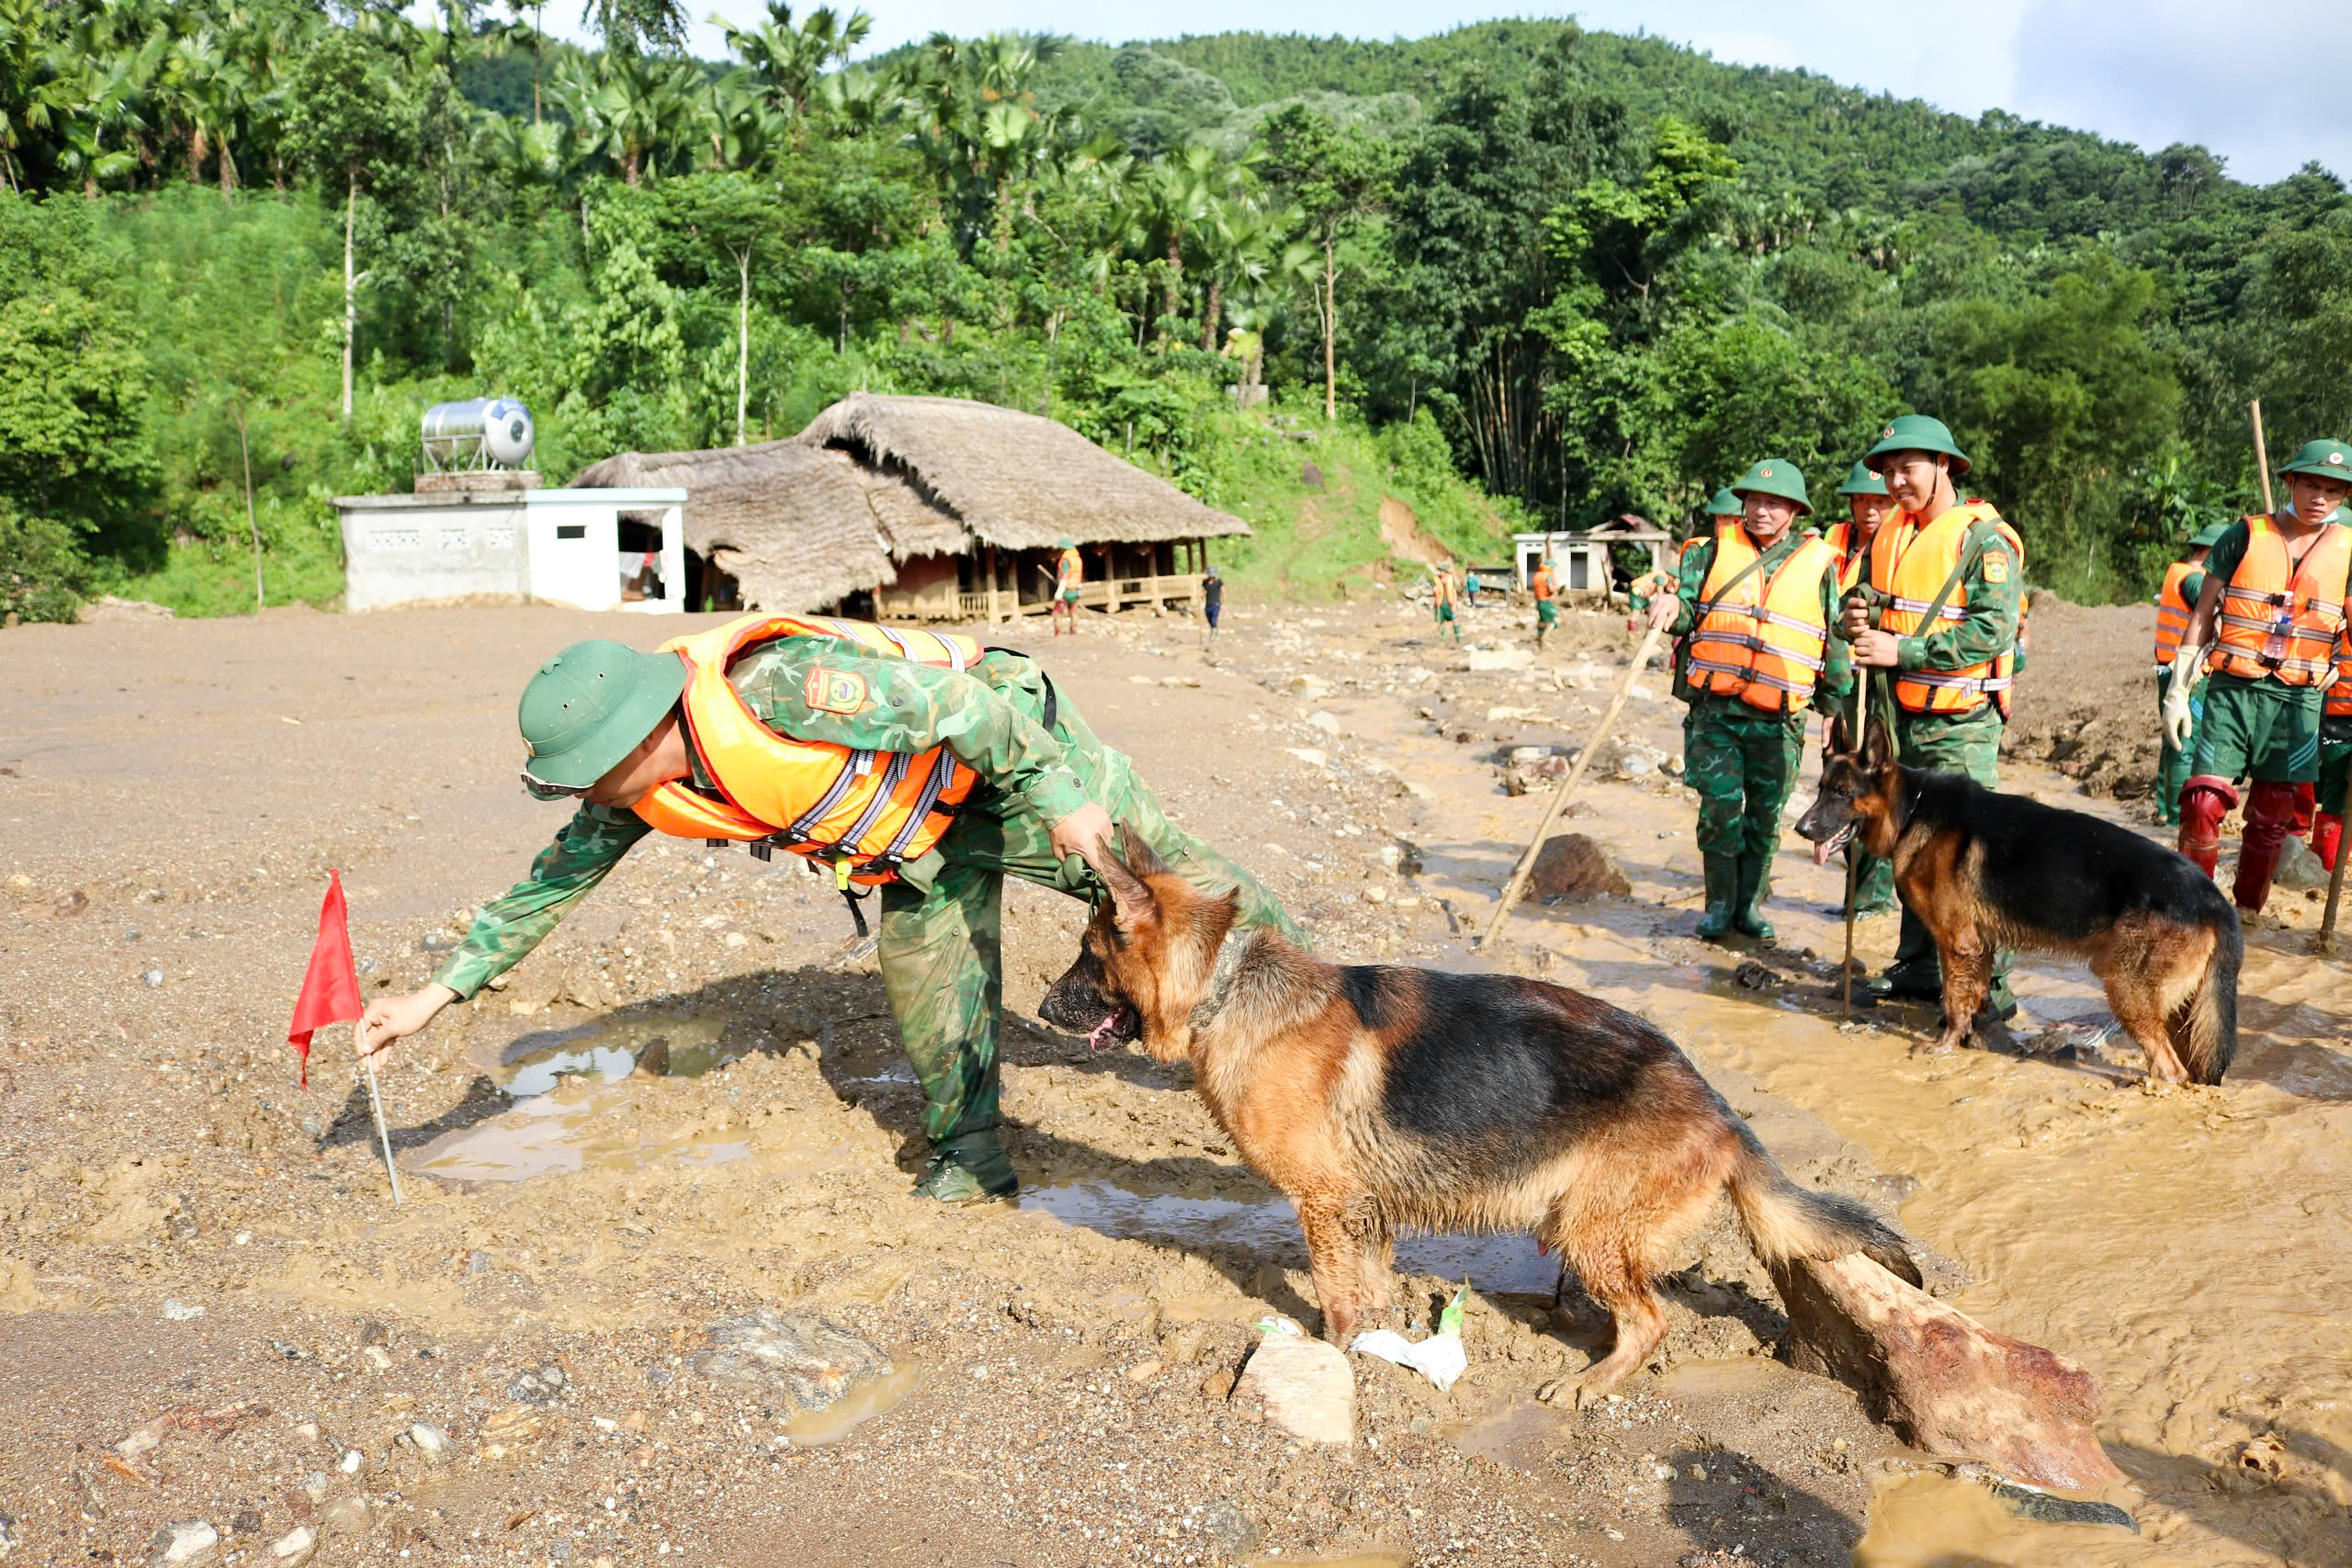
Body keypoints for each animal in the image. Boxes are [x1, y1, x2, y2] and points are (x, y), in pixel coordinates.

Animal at [1039, 827, 1918, 1401]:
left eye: (1086, 952)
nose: (1043, 1006)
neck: (1221, 987)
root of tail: (1722, 1110)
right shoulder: (1364, 1205)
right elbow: (1370, 1285)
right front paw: (1377, 1337)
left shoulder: (1323, 1203)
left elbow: (1333, 1293)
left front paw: (1331, 1352)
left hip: (1590, 1231)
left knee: (1651, 1319)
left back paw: (1593, 1382)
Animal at [1796, 719, 2239, 1086]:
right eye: (1819, 790)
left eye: (1842, 793)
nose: (1801, 828)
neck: (1912, 810)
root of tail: (2215, 900)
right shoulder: (1979, 947)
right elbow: (1973, 996)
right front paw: (1972, 1037)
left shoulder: (1956, 944)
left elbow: (1953, 997)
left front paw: (1945, 1045)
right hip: (2179, 1011)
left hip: (2126, 988)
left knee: (2169, 1068)